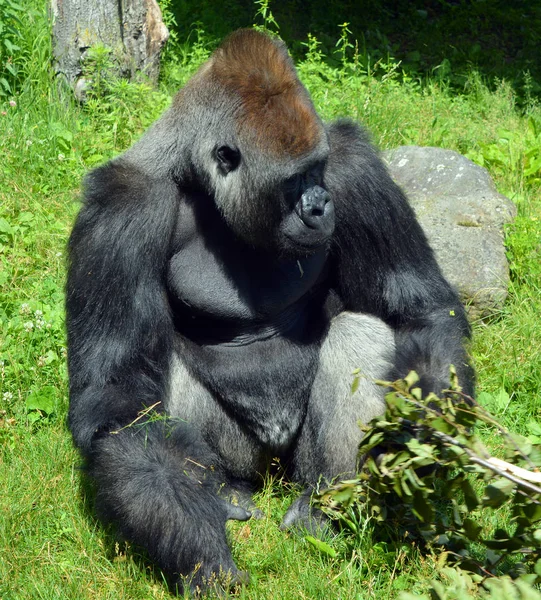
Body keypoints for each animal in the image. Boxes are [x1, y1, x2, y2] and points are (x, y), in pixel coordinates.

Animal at [66, 28, 472, 592]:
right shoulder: (121, 210)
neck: (199, 182)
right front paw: (199, 548)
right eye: (292, 182)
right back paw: (224, 492)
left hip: (296, 469)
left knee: (359, 331)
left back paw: (328, 504)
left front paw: (422, 447)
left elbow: (420, 309)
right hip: (248, 463)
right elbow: (120, 397)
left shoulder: (352, 164)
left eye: (318, 170)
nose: (321, 204)